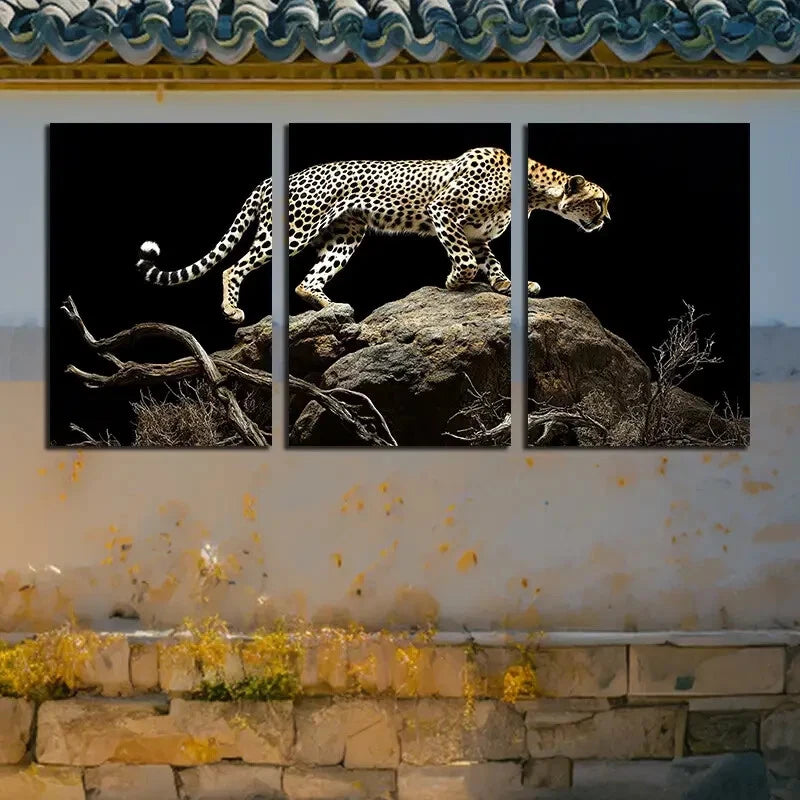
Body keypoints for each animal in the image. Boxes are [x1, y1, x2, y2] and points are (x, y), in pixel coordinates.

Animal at [135, 149, 609, 323]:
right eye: (599, 202)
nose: (606, 221)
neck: (533, 192)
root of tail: (274, 177)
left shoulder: (479, 235)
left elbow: (491, 263)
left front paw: (514, 286)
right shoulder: (443, 212)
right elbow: (465, 260)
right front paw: (456, 282)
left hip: (345, 236)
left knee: (307, 280)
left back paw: (332, 308)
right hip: (291, 231)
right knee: (234, 267)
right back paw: (232, 310)